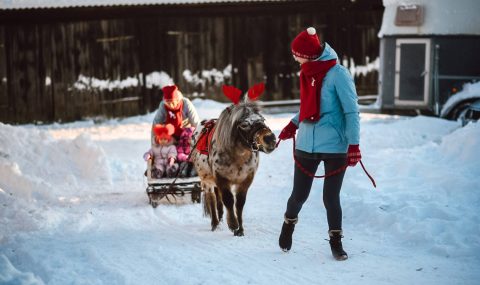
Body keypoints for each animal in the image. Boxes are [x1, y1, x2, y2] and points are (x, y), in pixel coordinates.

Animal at [189, 82, 276, 235]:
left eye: (263, 119)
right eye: (244, 124)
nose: (270, 139)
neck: (238, 157)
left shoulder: (246, 180)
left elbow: (239, 203)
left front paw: (240, 229)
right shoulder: (221, 178)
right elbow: (228, 200)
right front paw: (233, 224)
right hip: (206, 180)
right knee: (211, 198)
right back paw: (215, 223)